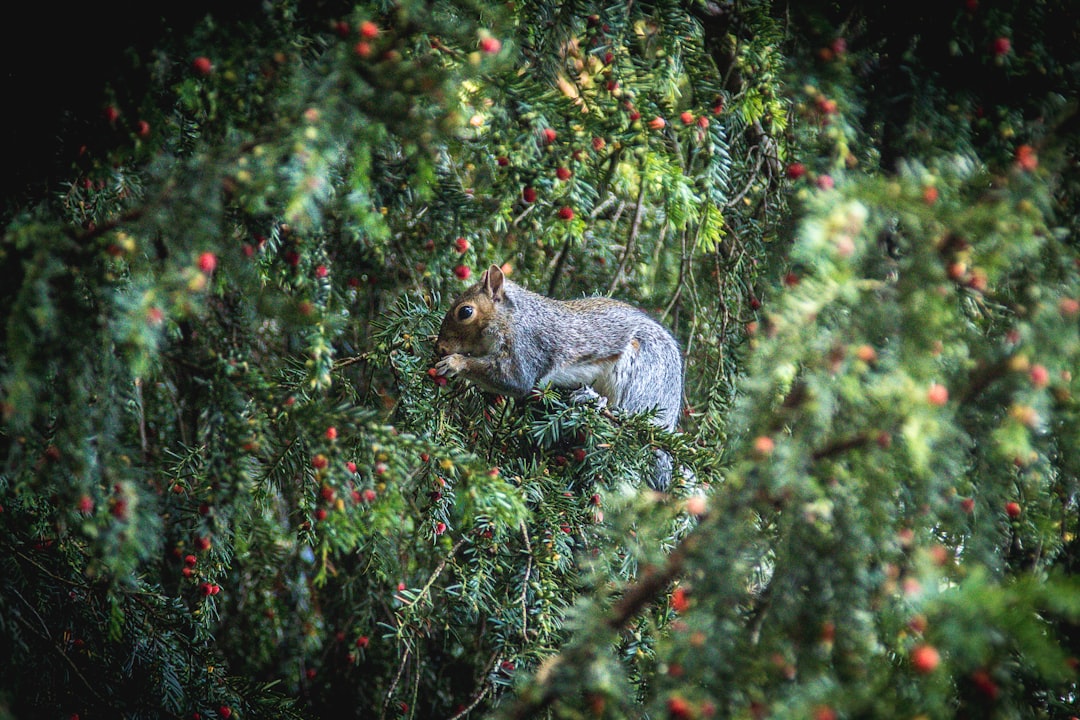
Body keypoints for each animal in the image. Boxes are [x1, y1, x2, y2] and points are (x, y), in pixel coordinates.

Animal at [432, 264, 678, 490]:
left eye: (465, 312)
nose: (440, 348)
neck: (512, 317)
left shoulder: (527, 349)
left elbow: (514, 380)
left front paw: (455, 363)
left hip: (642, 374)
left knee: (626, 417)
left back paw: (595, 400)